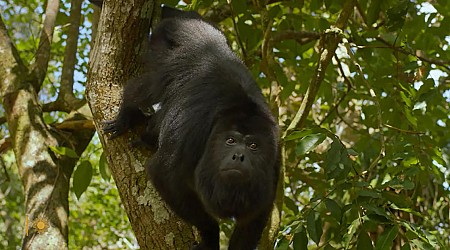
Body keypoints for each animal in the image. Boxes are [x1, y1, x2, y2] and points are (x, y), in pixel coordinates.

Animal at [101, 4, 280, 250]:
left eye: (253, 145)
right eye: (230, 141)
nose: (239, 156)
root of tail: (191, 22)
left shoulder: (275, 162)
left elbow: (254, 218)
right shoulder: (194, 132)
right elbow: (163, 173)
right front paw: (210, 235)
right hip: (165, 47)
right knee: (150, 86)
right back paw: (128, 115)